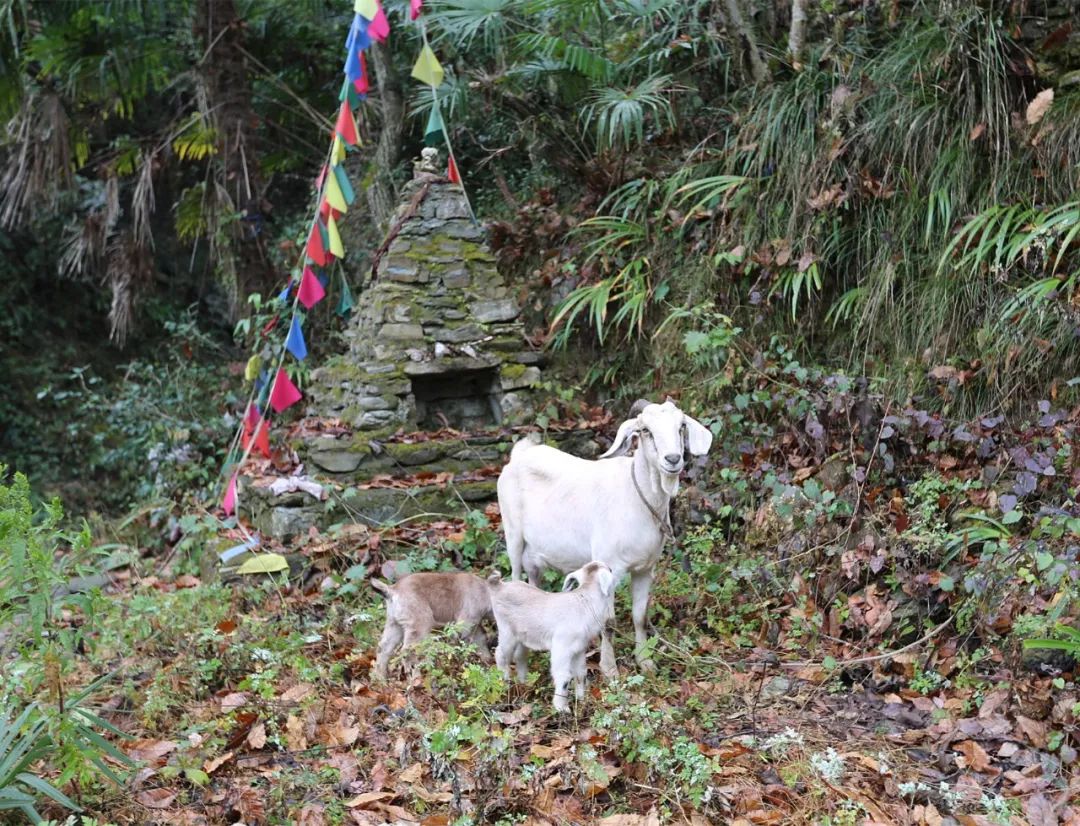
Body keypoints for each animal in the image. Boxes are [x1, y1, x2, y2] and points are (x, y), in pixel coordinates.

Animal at [494, 397, 712, 673]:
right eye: (645, 430)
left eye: (681, 426)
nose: (673, 459)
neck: (637, 498)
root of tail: (519, 455)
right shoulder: (611, 568)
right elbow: (607, 622)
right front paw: (610, 670)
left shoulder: (645, 569)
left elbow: (640, 616)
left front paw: (645, 661)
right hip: (512, 535)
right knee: (514, 576)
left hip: (535, 556)